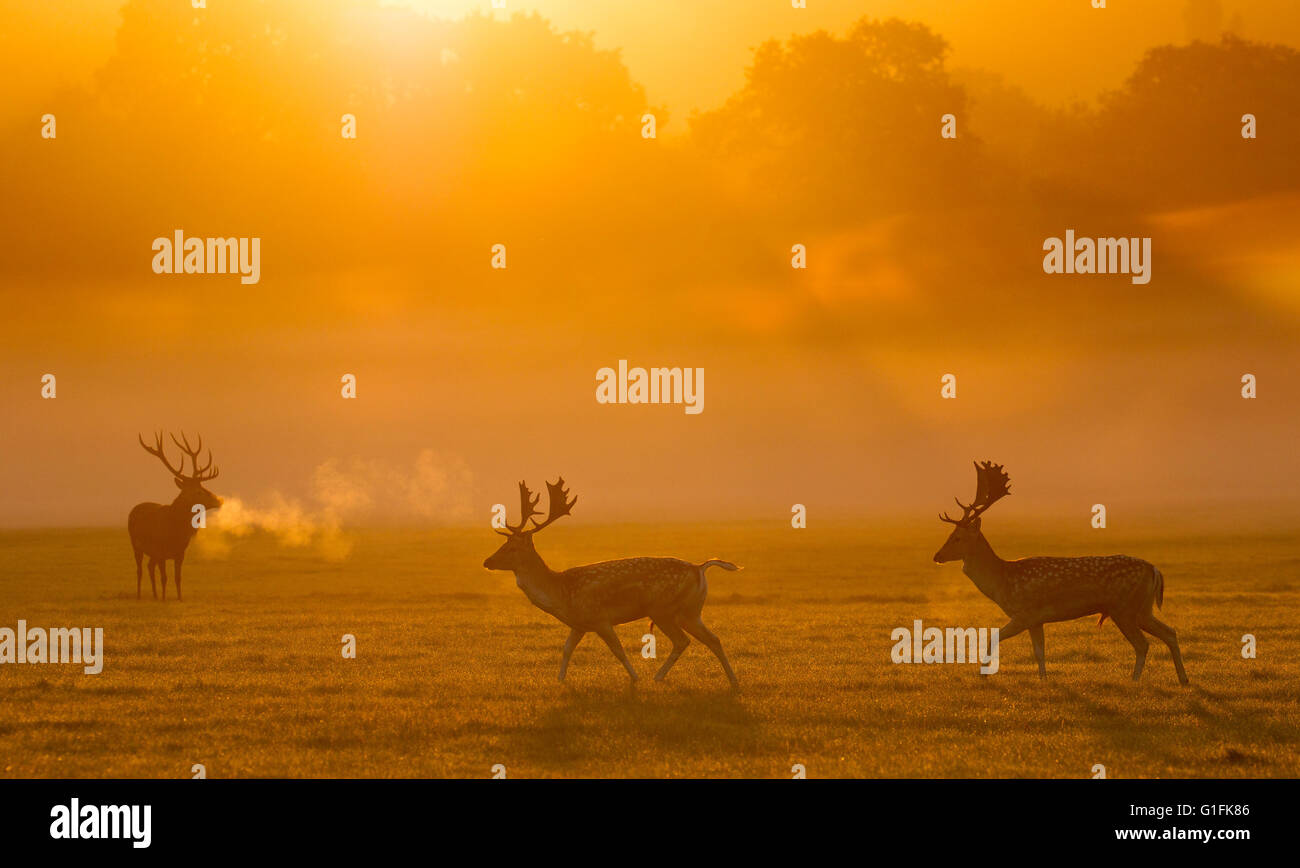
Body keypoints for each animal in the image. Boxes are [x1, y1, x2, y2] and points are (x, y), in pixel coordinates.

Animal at [126, 431, 223, 600]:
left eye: (203, 486)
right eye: (198, 491)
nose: (218, 500)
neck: (176, 531)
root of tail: (134, 509)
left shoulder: (180, 553)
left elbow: (178, 577)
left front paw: (179, 598)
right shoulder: (161, 552)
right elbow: (164, 578)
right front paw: (165, 599)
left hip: (152, 553)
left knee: (149, 566)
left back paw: (155, 595)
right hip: (136, 545)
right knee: (140, 570)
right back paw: (139, 595)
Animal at [483, 478, 743, 686]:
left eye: (512, 547)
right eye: (504, 543)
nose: (487, 561)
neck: (561, 592)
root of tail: (699, 568)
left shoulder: (600, 618)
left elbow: (617, 649)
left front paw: (634, 678)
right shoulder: (579, 624)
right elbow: (566, 649)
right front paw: (560, 679)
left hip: (663, 609)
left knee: (682, 640)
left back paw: (657, 677)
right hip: (689, 611)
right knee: (713, 639)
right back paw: (733, 681)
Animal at [935, 459, 1190, 686]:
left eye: (957, 537)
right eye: (950, 535)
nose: (937, 556)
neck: (1002, 581)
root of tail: (1154, 570)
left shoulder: (1024, 613)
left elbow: (993, 636)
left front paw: (983, 675)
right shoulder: (1036, 620)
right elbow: (1039, 651)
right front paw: (1044, 679)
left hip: (1124, 608)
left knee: (1143, 644)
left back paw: (1135, 681)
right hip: (1142, 608)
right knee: (1170, 632)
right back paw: (1183, 679)